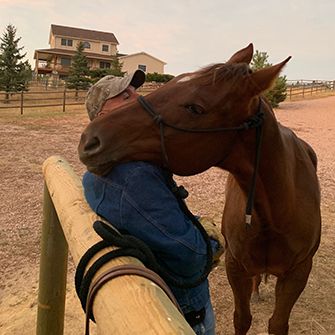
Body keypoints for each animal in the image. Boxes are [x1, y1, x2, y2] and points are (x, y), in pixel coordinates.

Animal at [77, 44, 322, 335]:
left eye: (195, 108)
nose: (89, 139)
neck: (275, 216)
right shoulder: (235, 267)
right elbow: (242, 318)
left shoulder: (297, 273)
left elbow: (277, 324)